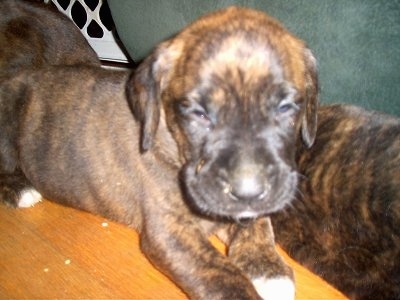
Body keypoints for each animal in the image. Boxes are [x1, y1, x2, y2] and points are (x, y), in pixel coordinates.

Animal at [0, 4, 318, 298]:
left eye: (285, 108)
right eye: (199, 114)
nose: (248, 191)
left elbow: (258, 225)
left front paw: (267, 269)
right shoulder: (169, 233)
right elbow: (218, 271)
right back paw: (20, 189)